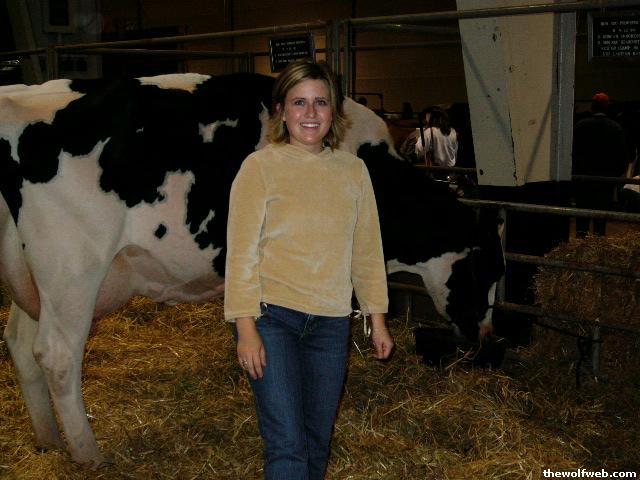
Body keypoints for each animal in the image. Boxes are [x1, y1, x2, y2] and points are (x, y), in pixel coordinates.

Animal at [0, 72, 504, 467]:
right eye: (489, 271)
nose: (484, 336)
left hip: (33, 281)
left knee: (21, 345)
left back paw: (48, 440)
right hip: (72, 268)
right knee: (57, 355)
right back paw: (88, 454)